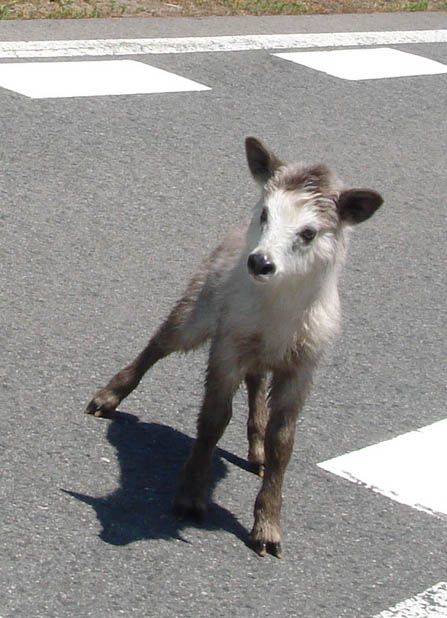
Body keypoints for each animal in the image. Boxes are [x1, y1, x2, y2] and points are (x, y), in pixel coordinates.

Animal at [85, 137, 384, 556]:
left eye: (309, 233)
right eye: (266, 213)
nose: (260, 262)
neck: (276, 314)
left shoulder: (302, 366)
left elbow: (283, 441)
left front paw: (268, 529)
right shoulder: (226, 346)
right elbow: (213, 420)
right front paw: (190, 497)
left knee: (256, 382)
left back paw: (256, 453)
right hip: (198, 308)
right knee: (159, 343)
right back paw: (107, 398)